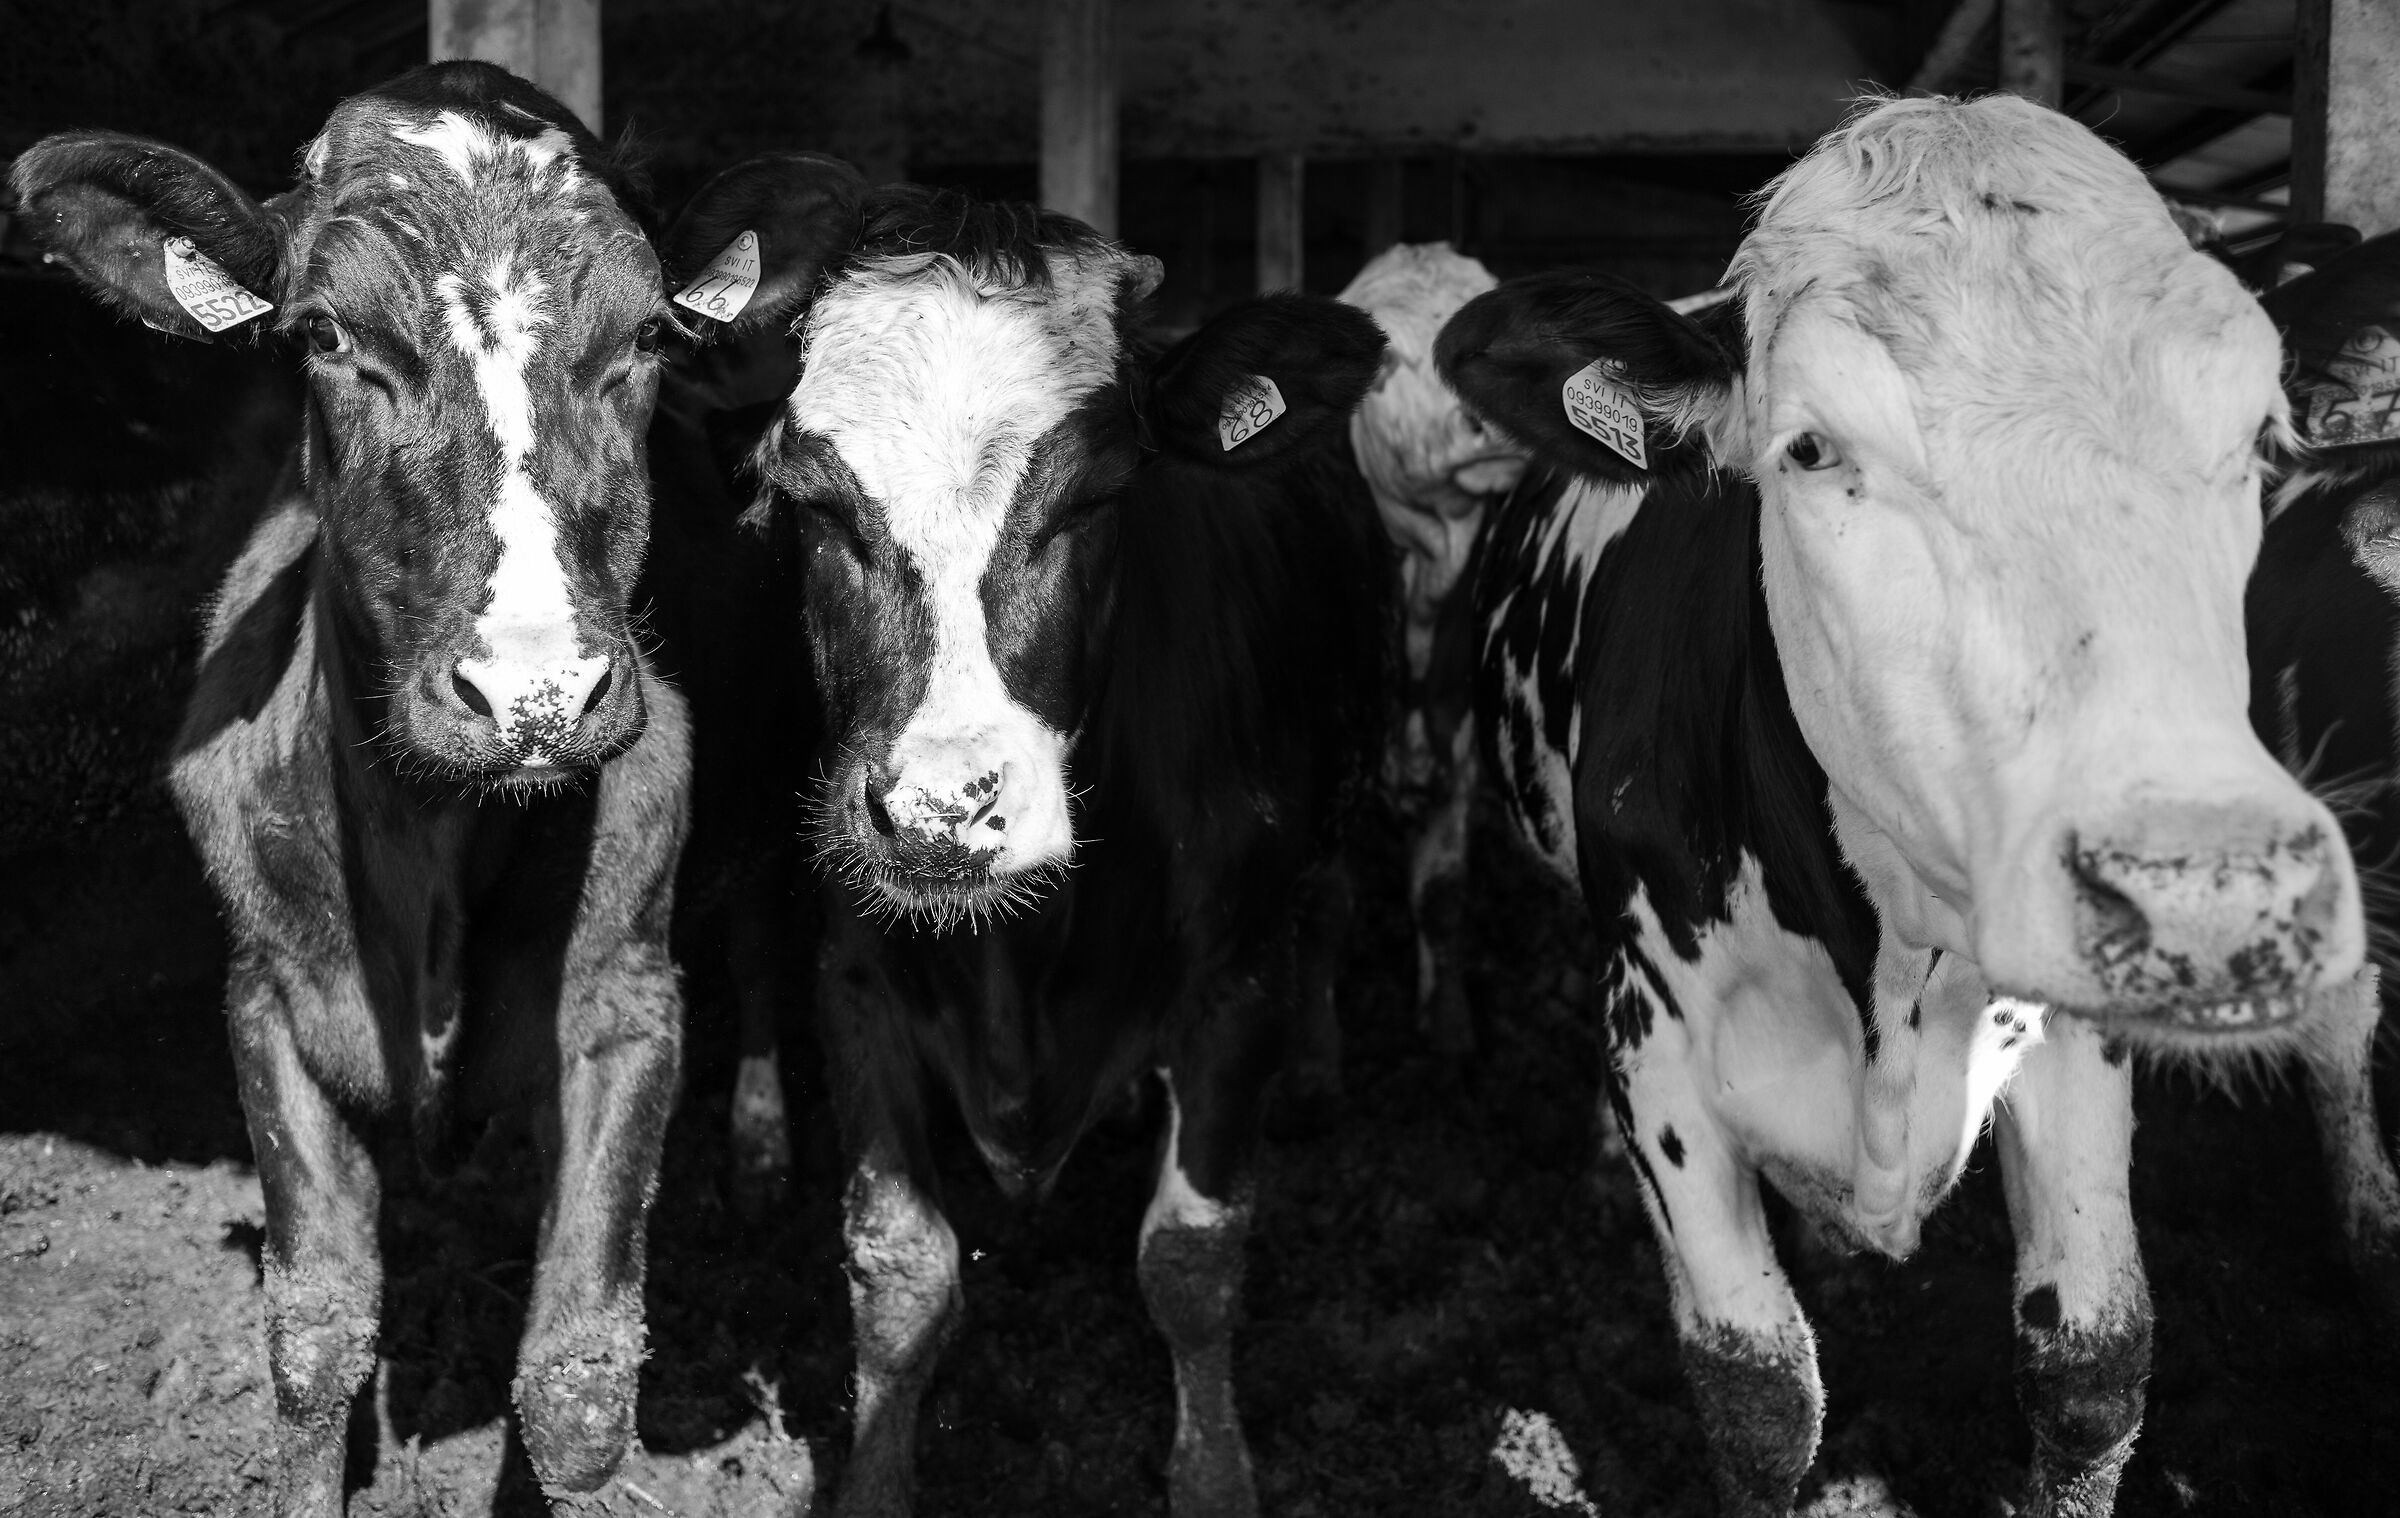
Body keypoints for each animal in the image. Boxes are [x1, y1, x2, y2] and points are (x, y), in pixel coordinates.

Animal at [10, 63, 690, 1514]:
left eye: (651, 334)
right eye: (325, 333)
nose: (535, 692)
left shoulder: (630, 999)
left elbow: (579, 1378)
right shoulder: (267, 993)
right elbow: (316, 1335)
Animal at [653, 169, 1390, 1517]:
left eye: (1099, 495)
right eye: (813, 504)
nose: (945, 809)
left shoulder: (1236, 981)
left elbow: (1191, 1259)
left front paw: (1213, 1476)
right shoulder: (859, 976)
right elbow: (899, 1264)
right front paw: (874, 1481)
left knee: (1336, 902)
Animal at [1434, 94, 2364, 1518]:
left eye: (2260, 438)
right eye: (1812, 448)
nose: (2210, 898)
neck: (1884, 961)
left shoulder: (2066, 1027)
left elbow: (2093, 1370)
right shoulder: (1659, 1034)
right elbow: (1760, 1394)